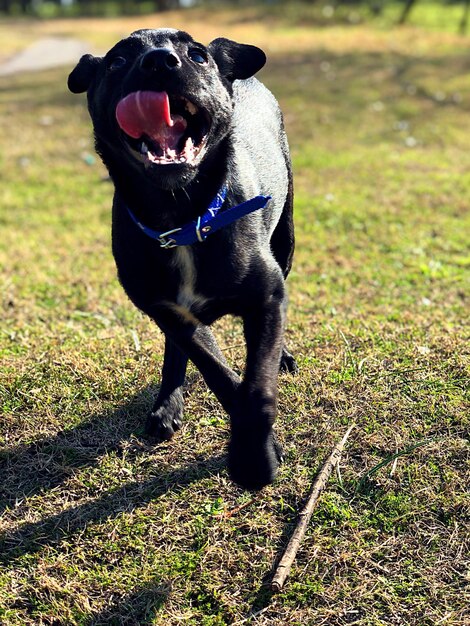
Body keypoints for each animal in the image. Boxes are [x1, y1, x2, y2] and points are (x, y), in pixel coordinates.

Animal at [68, 28, 296, 488]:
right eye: (117, 61)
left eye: (198, 55)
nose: (159, 61)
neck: (183, 217)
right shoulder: (168, 310)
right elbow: (218, 374)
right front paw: (253, 451)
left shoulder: (267, 297)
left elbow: (257, 385)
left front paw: (255, 458)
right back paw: (166, 404)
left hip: (287, 240)